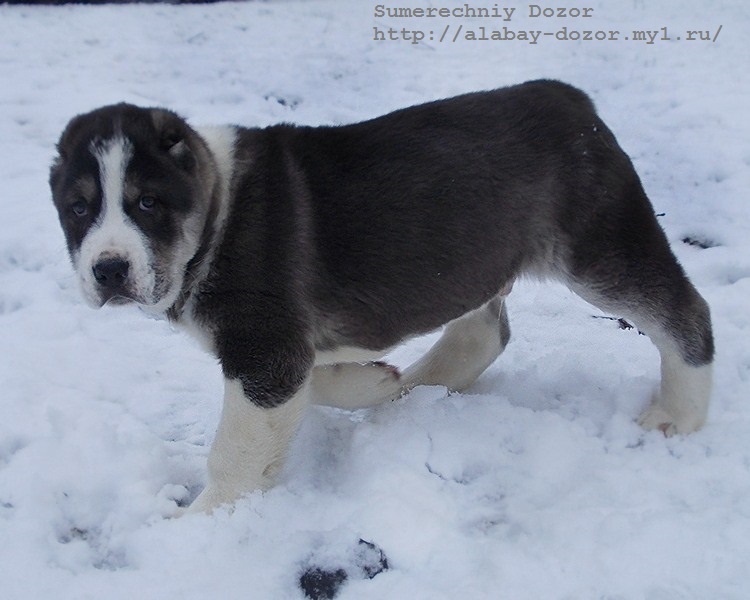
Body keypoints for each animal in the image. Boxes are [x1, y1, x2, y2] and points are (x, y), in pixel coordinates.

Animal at [48, 78, 716, 510]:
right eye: (78, 209)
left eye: (147, 203)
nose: (109, 270)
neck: (214, 213)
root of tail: (572, 98)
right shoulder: (283, 355)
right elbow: (314, 380)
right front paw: (371, 382)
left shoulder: (264, 352)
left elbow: (235, 450)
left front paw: (207, 519)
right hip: (475, 254)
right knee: (482, 331)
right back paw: (411, 391)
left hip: (598, 247)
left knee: (684, 311)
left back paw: (678, 416)